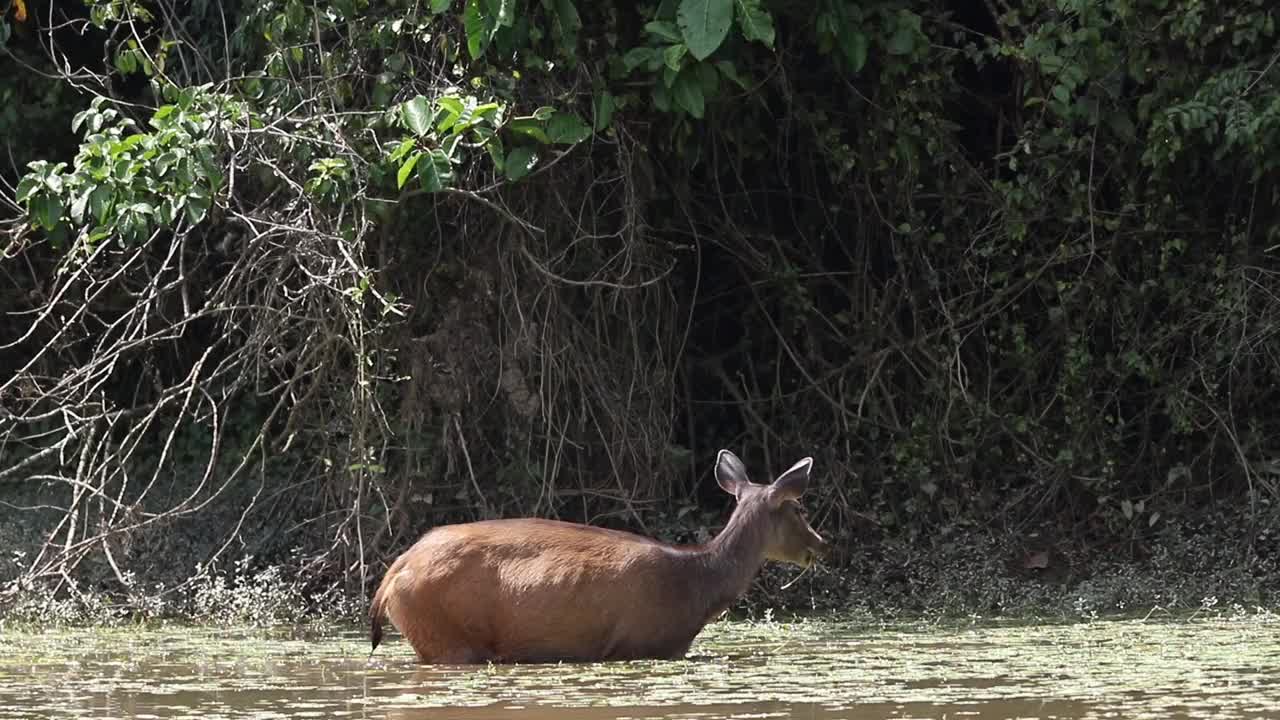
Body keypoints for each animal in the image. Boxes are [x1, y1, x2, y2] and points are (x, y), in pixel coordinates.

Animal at [371, 448, 829, 661]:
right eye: (799, 509)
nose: (820, 544)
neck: (696, 587)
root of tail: (392, 575)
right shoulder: (640, 642)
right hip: (446, 633)